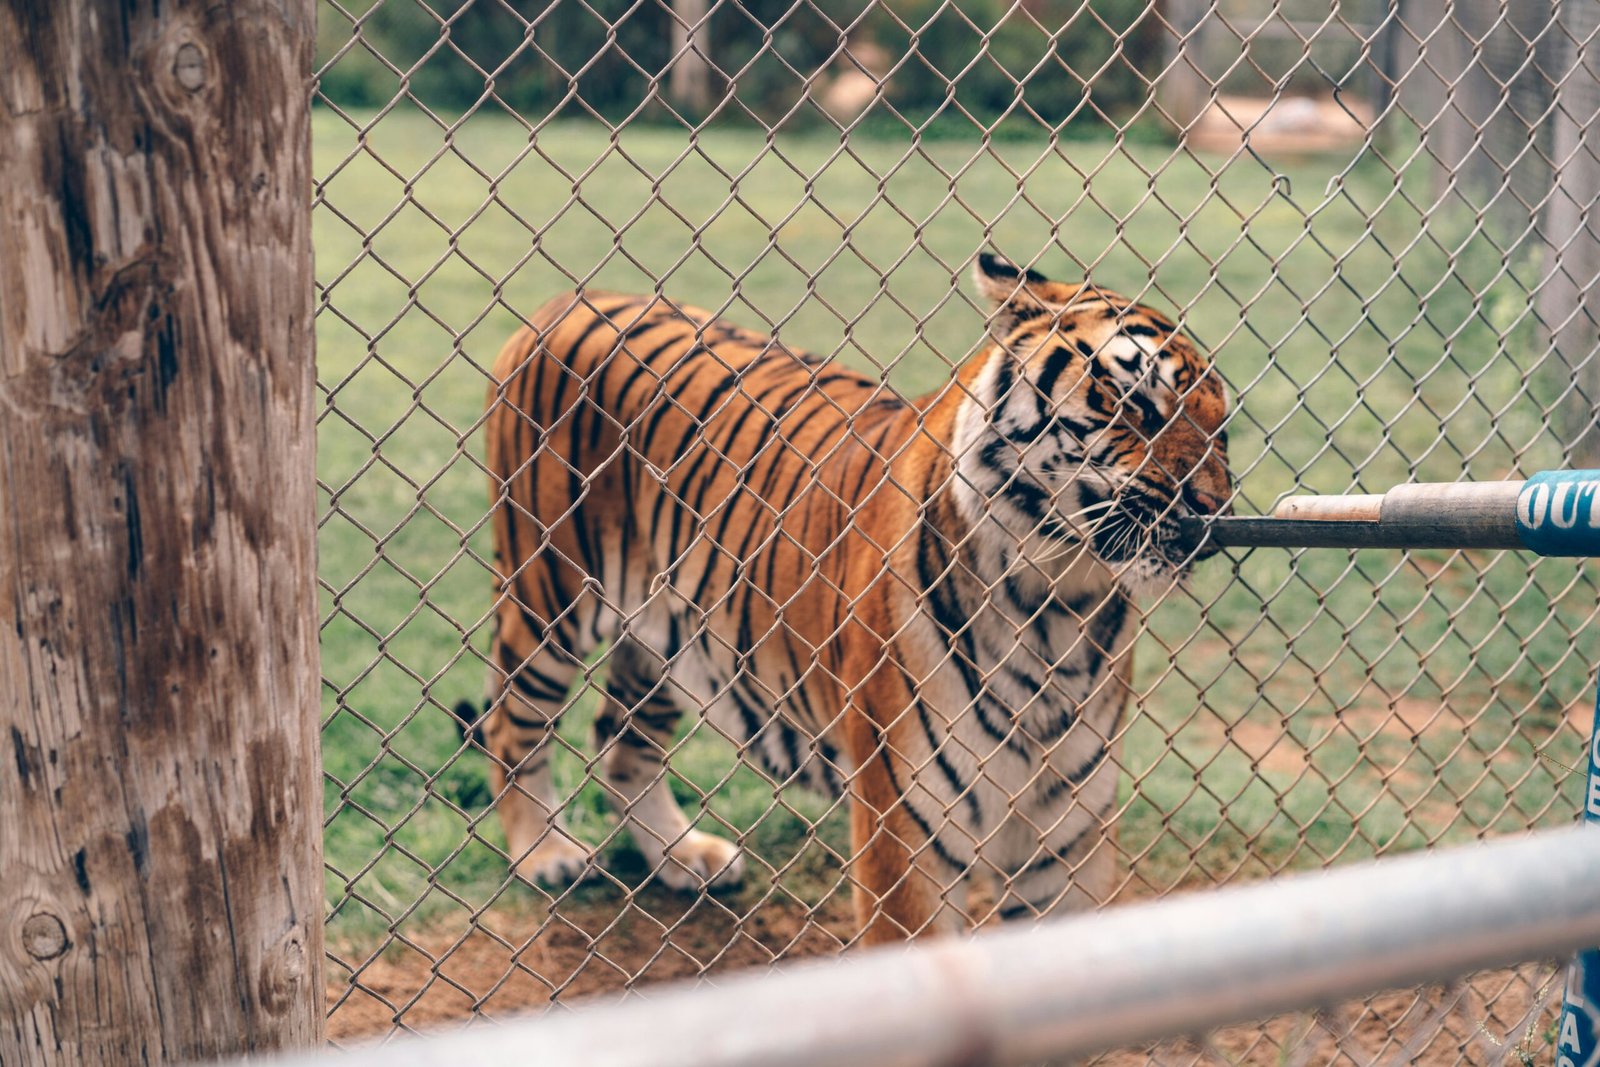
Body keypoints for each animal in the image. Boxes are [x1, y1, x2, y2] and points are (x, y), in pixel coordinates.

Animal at [457, 251, 1228, 940]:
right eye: (1135, 405)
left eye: (1221, 428)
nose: (1214, 509)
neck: (1059, 603)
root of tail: (568, 300)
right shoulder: (905, 831)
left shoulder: (1066, 840)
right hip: (547, 593)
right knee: (511, 723)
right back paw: (547, 854)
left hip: (667, 628)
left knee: (621, 742)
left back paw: (686, 857)